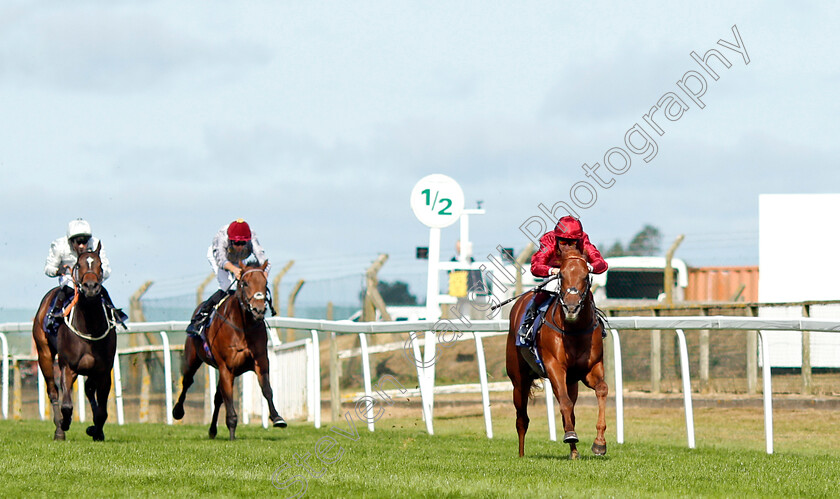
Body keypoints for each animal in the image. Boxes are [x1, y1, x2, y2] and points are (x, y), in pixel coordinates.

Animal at [31, 242, 118, 442]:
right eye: (78, 265)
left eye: (100, 265)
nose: (91, 287)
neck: (90, 327)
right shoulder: (67, 367)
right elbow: (67, 405)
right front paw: (65, 423)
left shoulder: (103, 370)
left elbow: (102, 411)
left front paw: (96, 431)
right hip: (44, 354)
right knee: (53, 391)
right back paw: (59, 430)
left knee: (88, 390)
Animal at [172, 260, 288, 440]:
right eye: (245, 283)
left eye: (265, 283)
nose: (258, 310)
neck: (243, 327)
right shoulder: (226, 367)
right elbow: (229, 400)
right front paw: (232, 433)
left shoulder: (260, 362)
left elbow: (267, 389)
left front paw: (277, 418)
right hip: (193, 358)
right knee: (187, 381)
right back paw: (178, 411)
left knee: (217, 398)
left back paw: (212, 430)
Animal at [506, 244, 604, 458]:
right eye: (562, 276)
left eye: (585, 275)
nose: (571, 307)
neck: (574, 329)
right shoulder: (554, 367)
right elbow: (565, 403)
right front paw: (570, 435)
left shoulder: (590, 368)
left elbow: (601, 390)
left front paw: (599, 443)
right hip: (518, 379)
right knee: (522, 418)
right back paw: (521, 454)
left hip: (571, 381)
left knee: (570, 410)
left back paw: (574, 452)